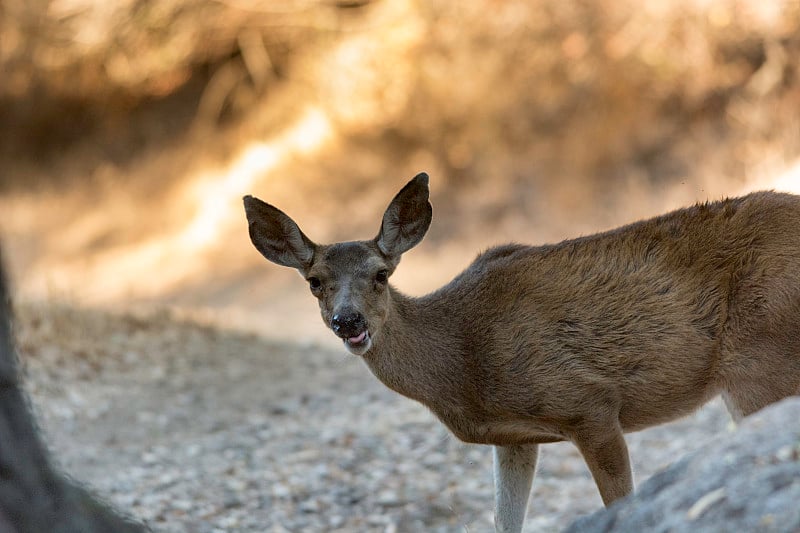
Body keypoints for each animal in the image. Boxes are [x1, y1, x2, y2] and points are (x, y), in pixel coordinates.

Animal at [242, 172, 800, 528]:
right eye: (315, 282)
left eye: (381, 275)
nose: (348, 322)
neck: (462, 359)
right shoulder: (514, 437)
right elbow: (503, 519)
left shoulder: (588, 403)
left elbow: (620, 502)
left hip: (761, 353)